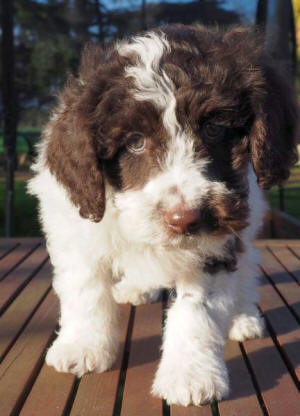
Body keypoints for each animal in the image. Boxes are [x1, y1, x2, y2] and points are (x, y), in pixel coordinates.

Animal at [28, 25, 298, 406]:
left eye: (214, 129)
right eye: (135, 142)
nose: (184, 219)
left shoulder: (217, 245)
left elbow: (197, 309)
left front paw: (190, 375)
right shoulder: (77, 233)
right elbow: (86, 290)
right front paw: (83, 347)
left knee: (247, 268)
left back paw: (243, 317)